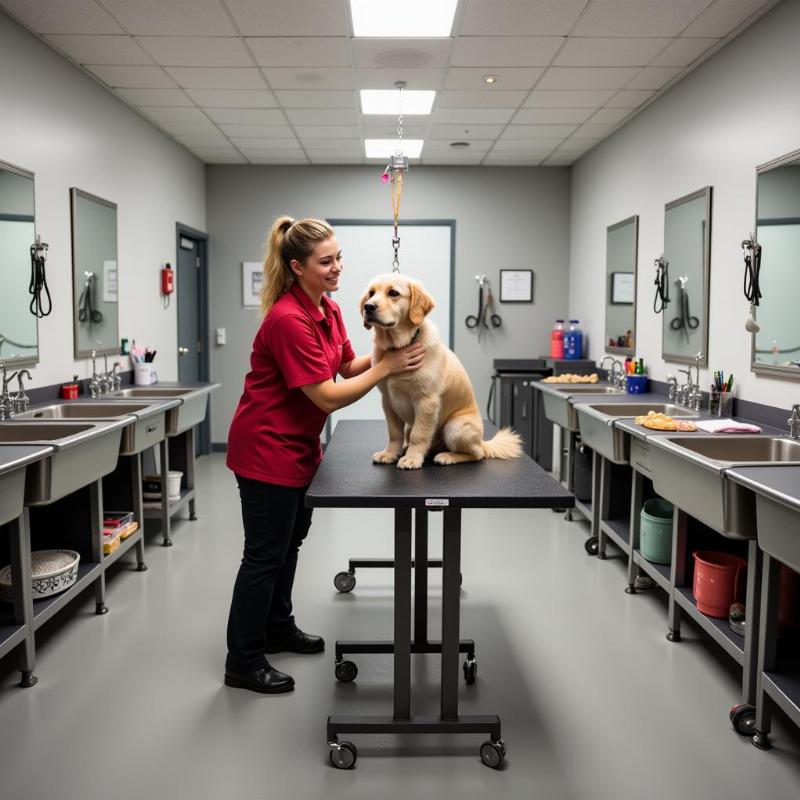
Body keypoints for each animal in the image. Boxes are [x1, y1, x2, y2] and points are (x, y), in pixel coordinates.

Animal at [358, 276, 520, 468]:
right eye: (371, 293)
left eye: (393, 293)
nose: (368, 307)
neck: (399, 345)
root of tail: (482, 442)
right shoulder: (388, 400)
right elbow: (394, 433)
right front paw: (389, 454)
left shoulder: (427, 401)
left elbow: (419, 435)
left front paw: (412, 459)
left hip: (455, 427)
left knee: (477, 454)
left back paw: (447, 456)